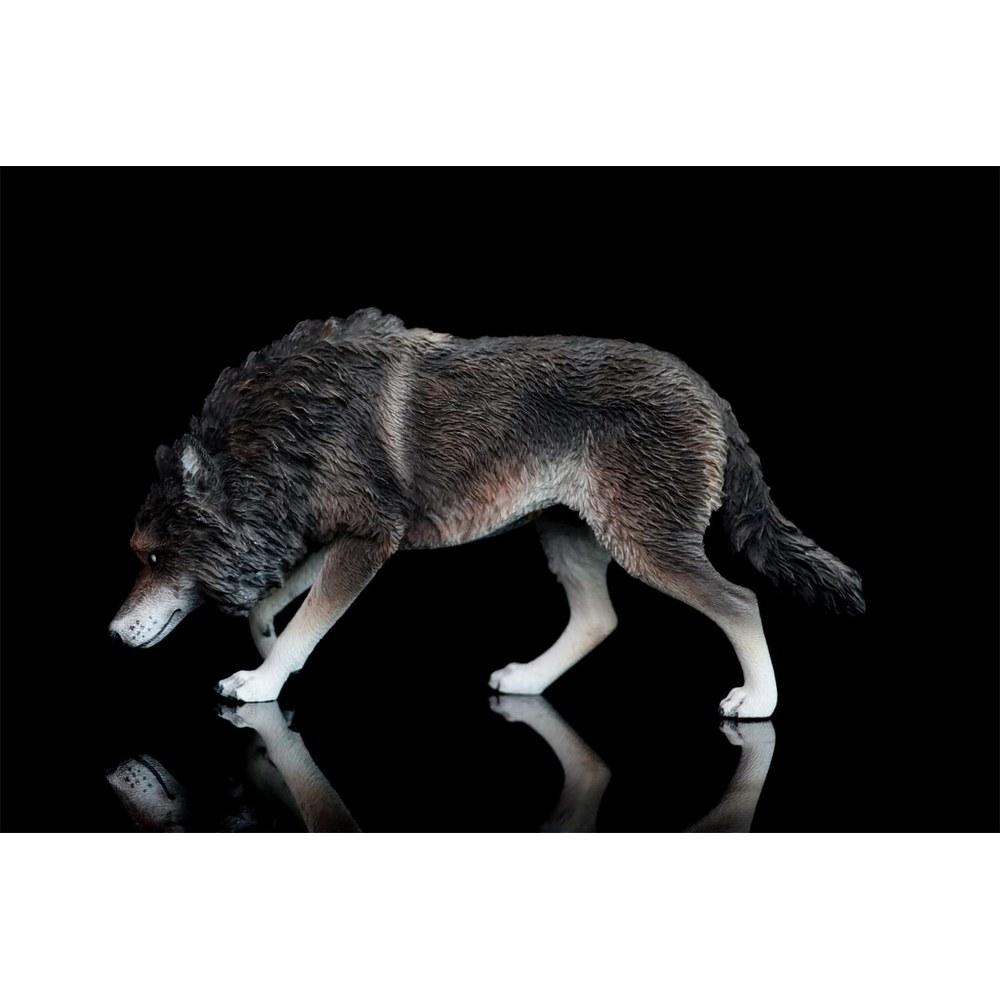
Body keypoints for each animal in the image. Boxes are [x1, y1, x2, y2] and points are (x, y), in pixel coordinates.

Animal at [109, 308, 864, 716]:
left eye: (154, 556)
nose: (113, 635)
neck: (276, 433)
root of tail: (711, 394)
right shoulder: (336, 536)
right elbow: (277, 604)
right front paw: (265, 647)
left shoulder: (368, 541)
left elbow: (306, 625)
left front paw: (263, 682)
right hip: (567, 538)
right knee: (600, 618)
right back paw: (528, 681)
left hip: (646, 546)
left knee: (740, 602)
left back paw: (758, 703)